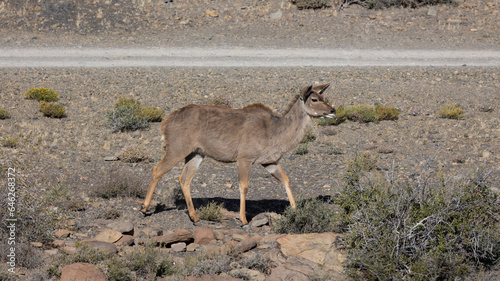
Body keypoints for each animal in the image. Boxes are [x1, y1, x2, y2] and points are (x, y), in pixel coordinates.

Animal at [141, 82, 336, 223]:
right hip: (177, 149)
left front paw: (295, 211)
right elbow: (244, 185)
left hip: (196, 154)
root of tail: (165, 122)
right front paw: (243, 219)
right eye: (314, 99)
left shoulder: (270, 162)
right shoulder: (245, 158)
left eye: (323, 96)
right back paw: (144, 208)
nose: (333, 110)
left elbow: (286, 180)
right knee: (158, 170)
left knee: (184, 179)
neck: (274, 131)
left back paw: (194, 217)